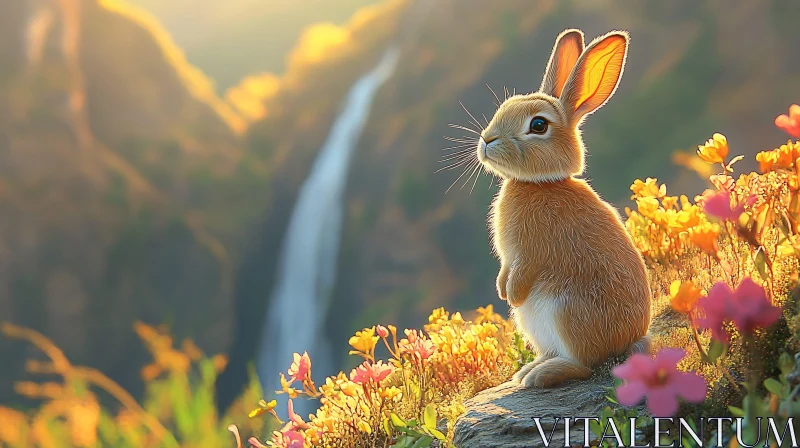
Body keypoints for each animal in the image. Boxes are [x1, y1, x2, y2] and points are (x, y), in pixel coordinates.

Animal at [475, 29, 651, 388]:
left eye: (538, 125)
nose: (487, 140)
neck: (540, 183)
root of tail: (626, 342)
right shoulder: (510, 258)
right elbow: (505, 269)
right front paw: (501, 289)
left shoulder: (532, 250)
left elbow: (525, 269)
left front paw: (511, 294)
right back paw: (528, 371)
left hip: (566, 312)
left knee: (585, 365)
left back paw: (539, 376)